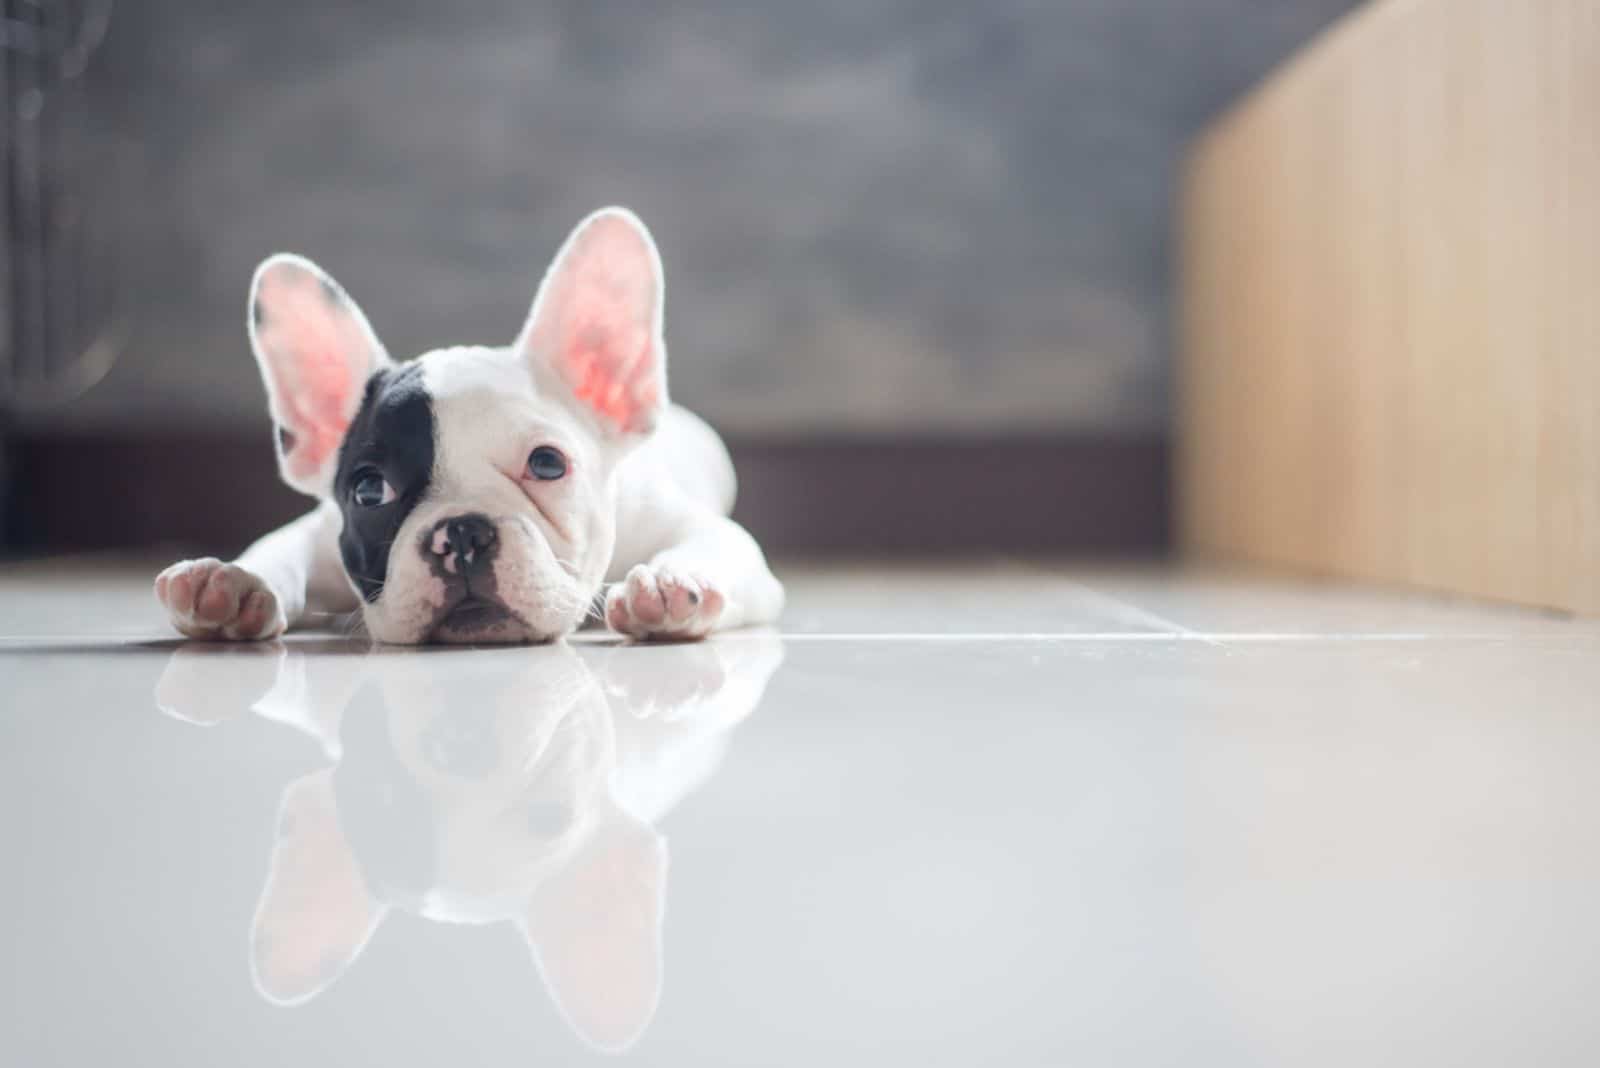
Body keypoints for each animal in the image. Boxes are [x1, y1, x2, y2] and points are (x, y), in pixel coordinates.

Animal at [151, 207, 780, 642]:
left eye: (547, 464)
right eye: (368, 490)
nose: (461, 532)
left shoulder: (707, 535)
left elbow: (714, 546)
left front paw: (670, 583)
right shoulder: (323, 532)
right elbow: (277, 548)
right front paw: (231, 581)